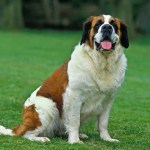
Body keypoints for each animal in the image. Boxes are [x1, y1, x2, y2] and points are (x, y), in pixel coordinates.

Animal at [0, 14, 129, 144]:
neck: (101, 65)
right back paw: (42, 138)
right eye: (98, 24)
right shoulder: (74, 96)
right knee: (25, 134)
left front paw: (107, 138)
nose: (107, 27)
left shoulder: (108, 100)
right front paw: (74, 141)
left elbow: (103, 122)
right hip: (49, 106)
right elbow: (75, 121)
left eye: (113, 25)